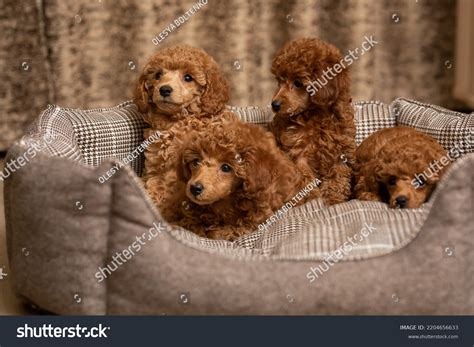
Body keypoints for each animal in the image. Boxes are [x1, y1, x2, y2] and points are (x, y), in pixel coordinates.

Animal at [132, 45, 231, 209]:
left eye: (188, 78)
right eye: (158, 75)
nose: (164, 89)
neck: (177, 120)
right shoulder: (155, 164)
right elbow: (153, 181)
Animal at [163, 118, 314, 241]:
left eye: (226, 167)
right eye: (196, 162)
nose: (195, 188)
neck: (226, 200)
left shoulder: (258, 218)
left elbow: (223, 232)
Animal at [268, 37, 354, 207]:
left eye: (298, 83)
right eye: (280, 82)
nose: (275, 105)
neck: (315, 114)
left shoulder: (338, 151)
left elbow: (338, 177)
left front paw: (334, 199)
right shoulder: (298, 153)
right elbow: (305, 178)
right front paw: (312, 198)